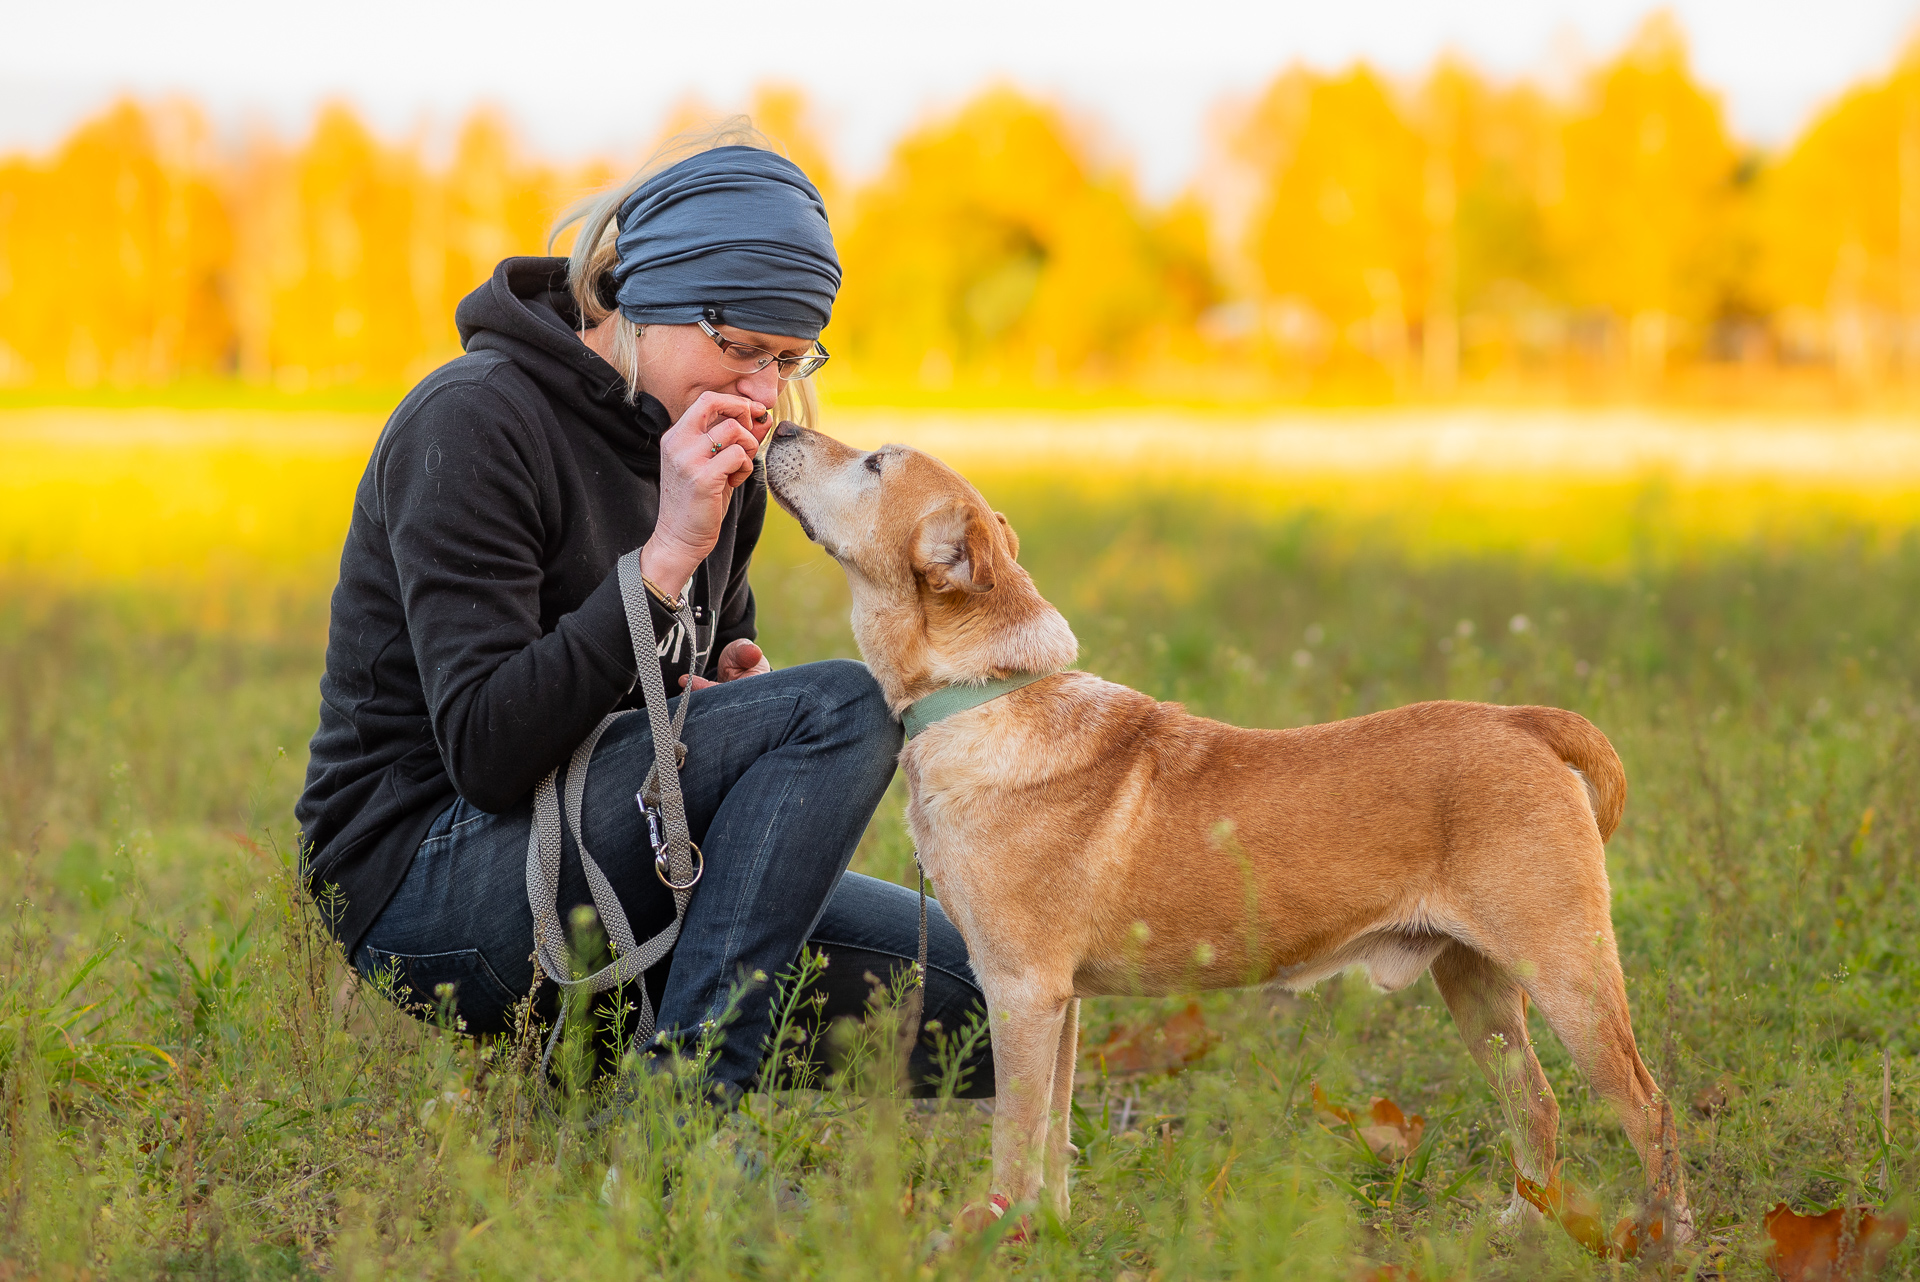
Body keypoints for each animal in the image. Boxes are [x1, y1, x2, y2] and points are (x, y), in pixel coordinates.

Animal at [756, 422, 1689, 1243]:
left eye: (876, 463)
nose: (775, 432)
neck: (981, 692)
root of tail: (1523, 721)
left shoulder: (1021, 991)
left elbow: (1015, 1141)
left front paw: (993, 1238)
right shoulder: (1063, 1003)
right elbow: (1054, 1140)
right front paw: (1050, 1235)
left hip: (1567, 973)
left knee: (1649, 1108)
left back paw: (1663, 1237)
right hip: (1476, 982)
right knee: (1537, 1104)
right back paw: (1524, 1228)